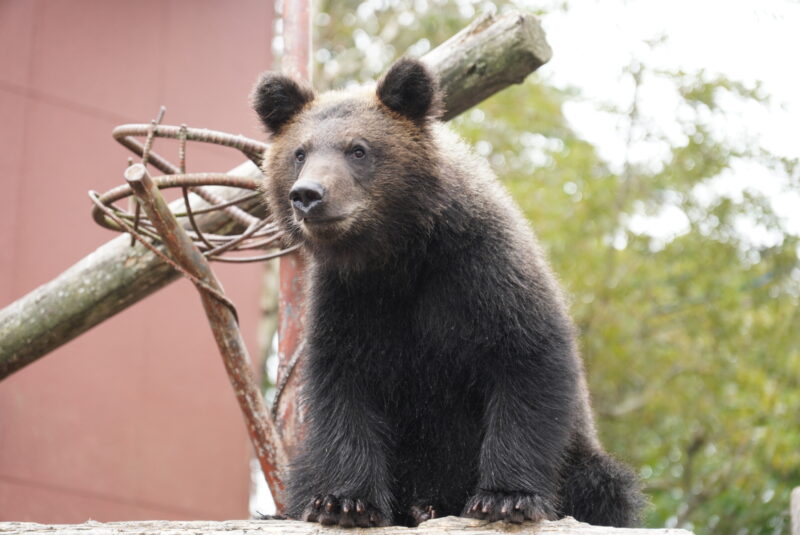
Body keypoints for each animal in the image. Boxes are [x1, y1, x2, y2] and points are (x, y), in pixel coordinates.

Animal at [252, 57, 644, 528]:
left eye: (358, 149)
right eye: (300, 152)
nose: (308, 196)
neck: (400, 255)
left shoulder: (483, 275)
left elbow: (528, 366)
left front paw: (505, 497)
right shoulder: (350, 302)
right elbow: (344, 385)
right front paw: (344, 502)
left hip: (580, 462)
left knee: (603, 485)